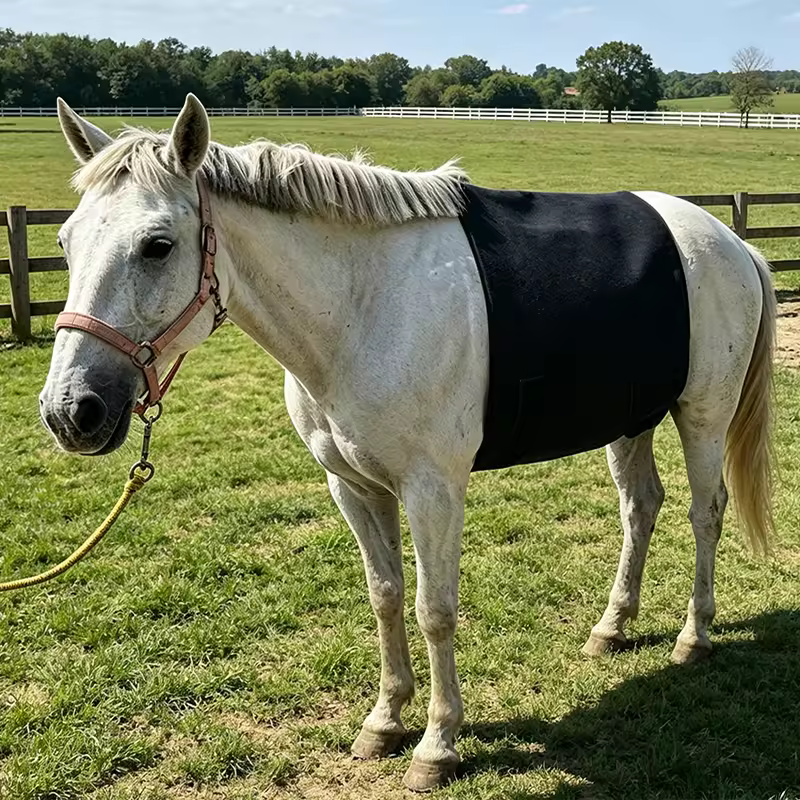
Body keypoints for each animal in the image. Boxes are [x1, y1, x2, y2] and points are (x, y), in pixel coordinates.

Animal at [40, 94, 776, 792]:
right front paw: (385, 721)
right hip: (628, 419)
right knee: (640, 507)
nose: (70, 411)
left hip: (702, 414)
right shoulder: (354, 486)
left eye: (157, 245)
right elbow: (385, 595)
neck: (362, 307)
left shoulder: (433, 489)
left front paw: (437, 746)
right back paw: (612, 627)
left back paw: (694, 636)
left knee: (704, 512)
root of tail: (730, 242)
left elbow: (434, 610)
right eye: (67, 243)